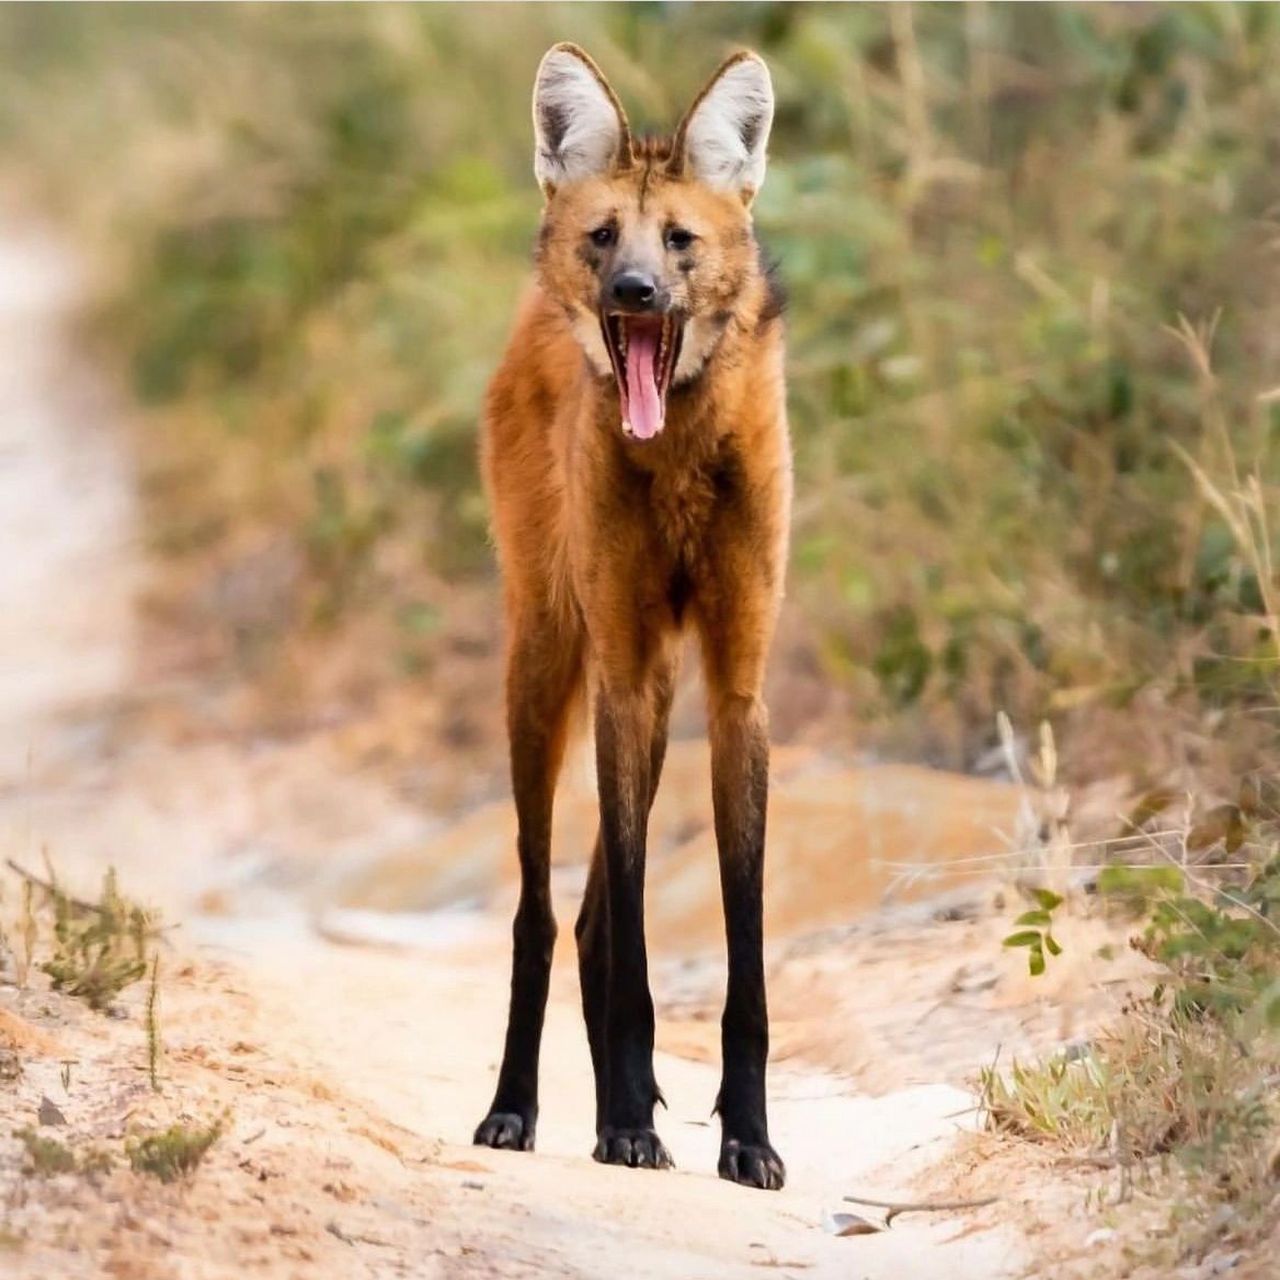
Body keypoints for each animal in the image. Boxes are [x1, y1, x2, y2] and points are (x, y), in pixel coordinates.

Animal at [473, 47, 788, 1187]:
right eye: (604, 235)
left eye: (680, 241)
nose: (635, 291)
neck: (681, 453)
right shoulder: (625, 665)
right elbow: (627, 932)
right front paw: (624, 1126)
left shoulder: (734, 686)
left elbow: (741, 947)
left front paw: (748, 1137)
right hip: (549, 663)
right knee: (541, 913)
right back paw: (517, 1108)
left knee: (594, 914)